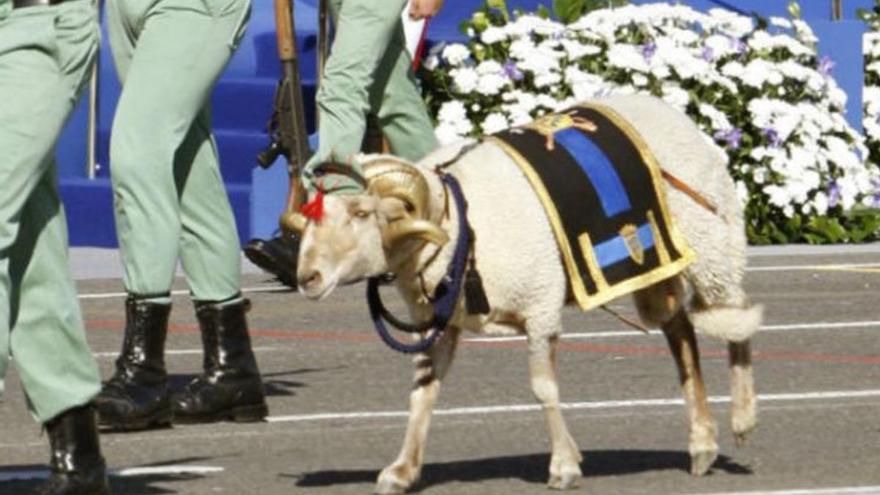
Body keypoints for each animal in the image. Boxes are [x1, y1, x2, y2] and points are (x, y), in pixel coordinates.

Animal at [293, 95, 762, 494]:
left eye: (360, 213)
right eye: (312, 217)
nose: (306, 277)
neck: (462, 222)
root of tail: (667, 107)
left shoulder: (540, 307)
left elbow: (543, 389)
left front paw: (564, 466)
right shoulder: (439, 324)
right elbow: (422, 394)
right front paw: (402, 471)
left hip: (712, 243)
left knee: (736, 318)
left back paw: (742, 419)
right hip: (653, 268)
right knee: (680, 331)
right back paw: (701, 444)